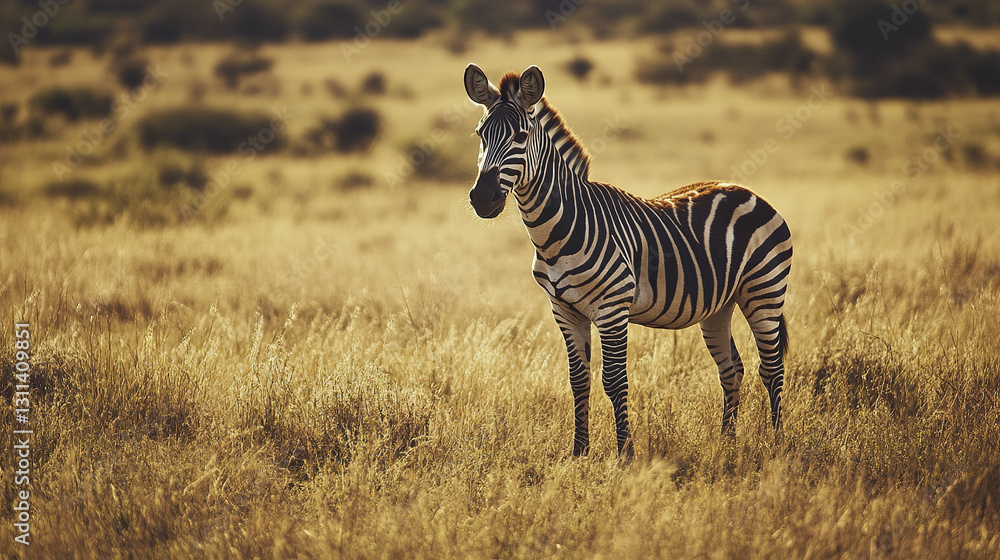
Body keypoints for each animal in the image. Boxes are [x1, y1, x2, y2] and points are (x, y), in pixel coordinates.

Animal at [464, 64, 792, 461]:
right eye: (480, 135)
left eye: (521, 136)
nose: (483, 198)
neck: (560, 227)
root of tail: (748, 191)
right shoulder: (564, 310)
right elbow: (579, 380)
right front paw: (579, 452)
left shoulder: (612, 308)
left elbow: (615, 380)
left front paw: (625, 454)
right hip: (720, 305)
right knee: (732, 370)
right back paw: (725, 443)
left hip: (764, 291)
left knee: (771, 368)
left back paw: (777, 444)